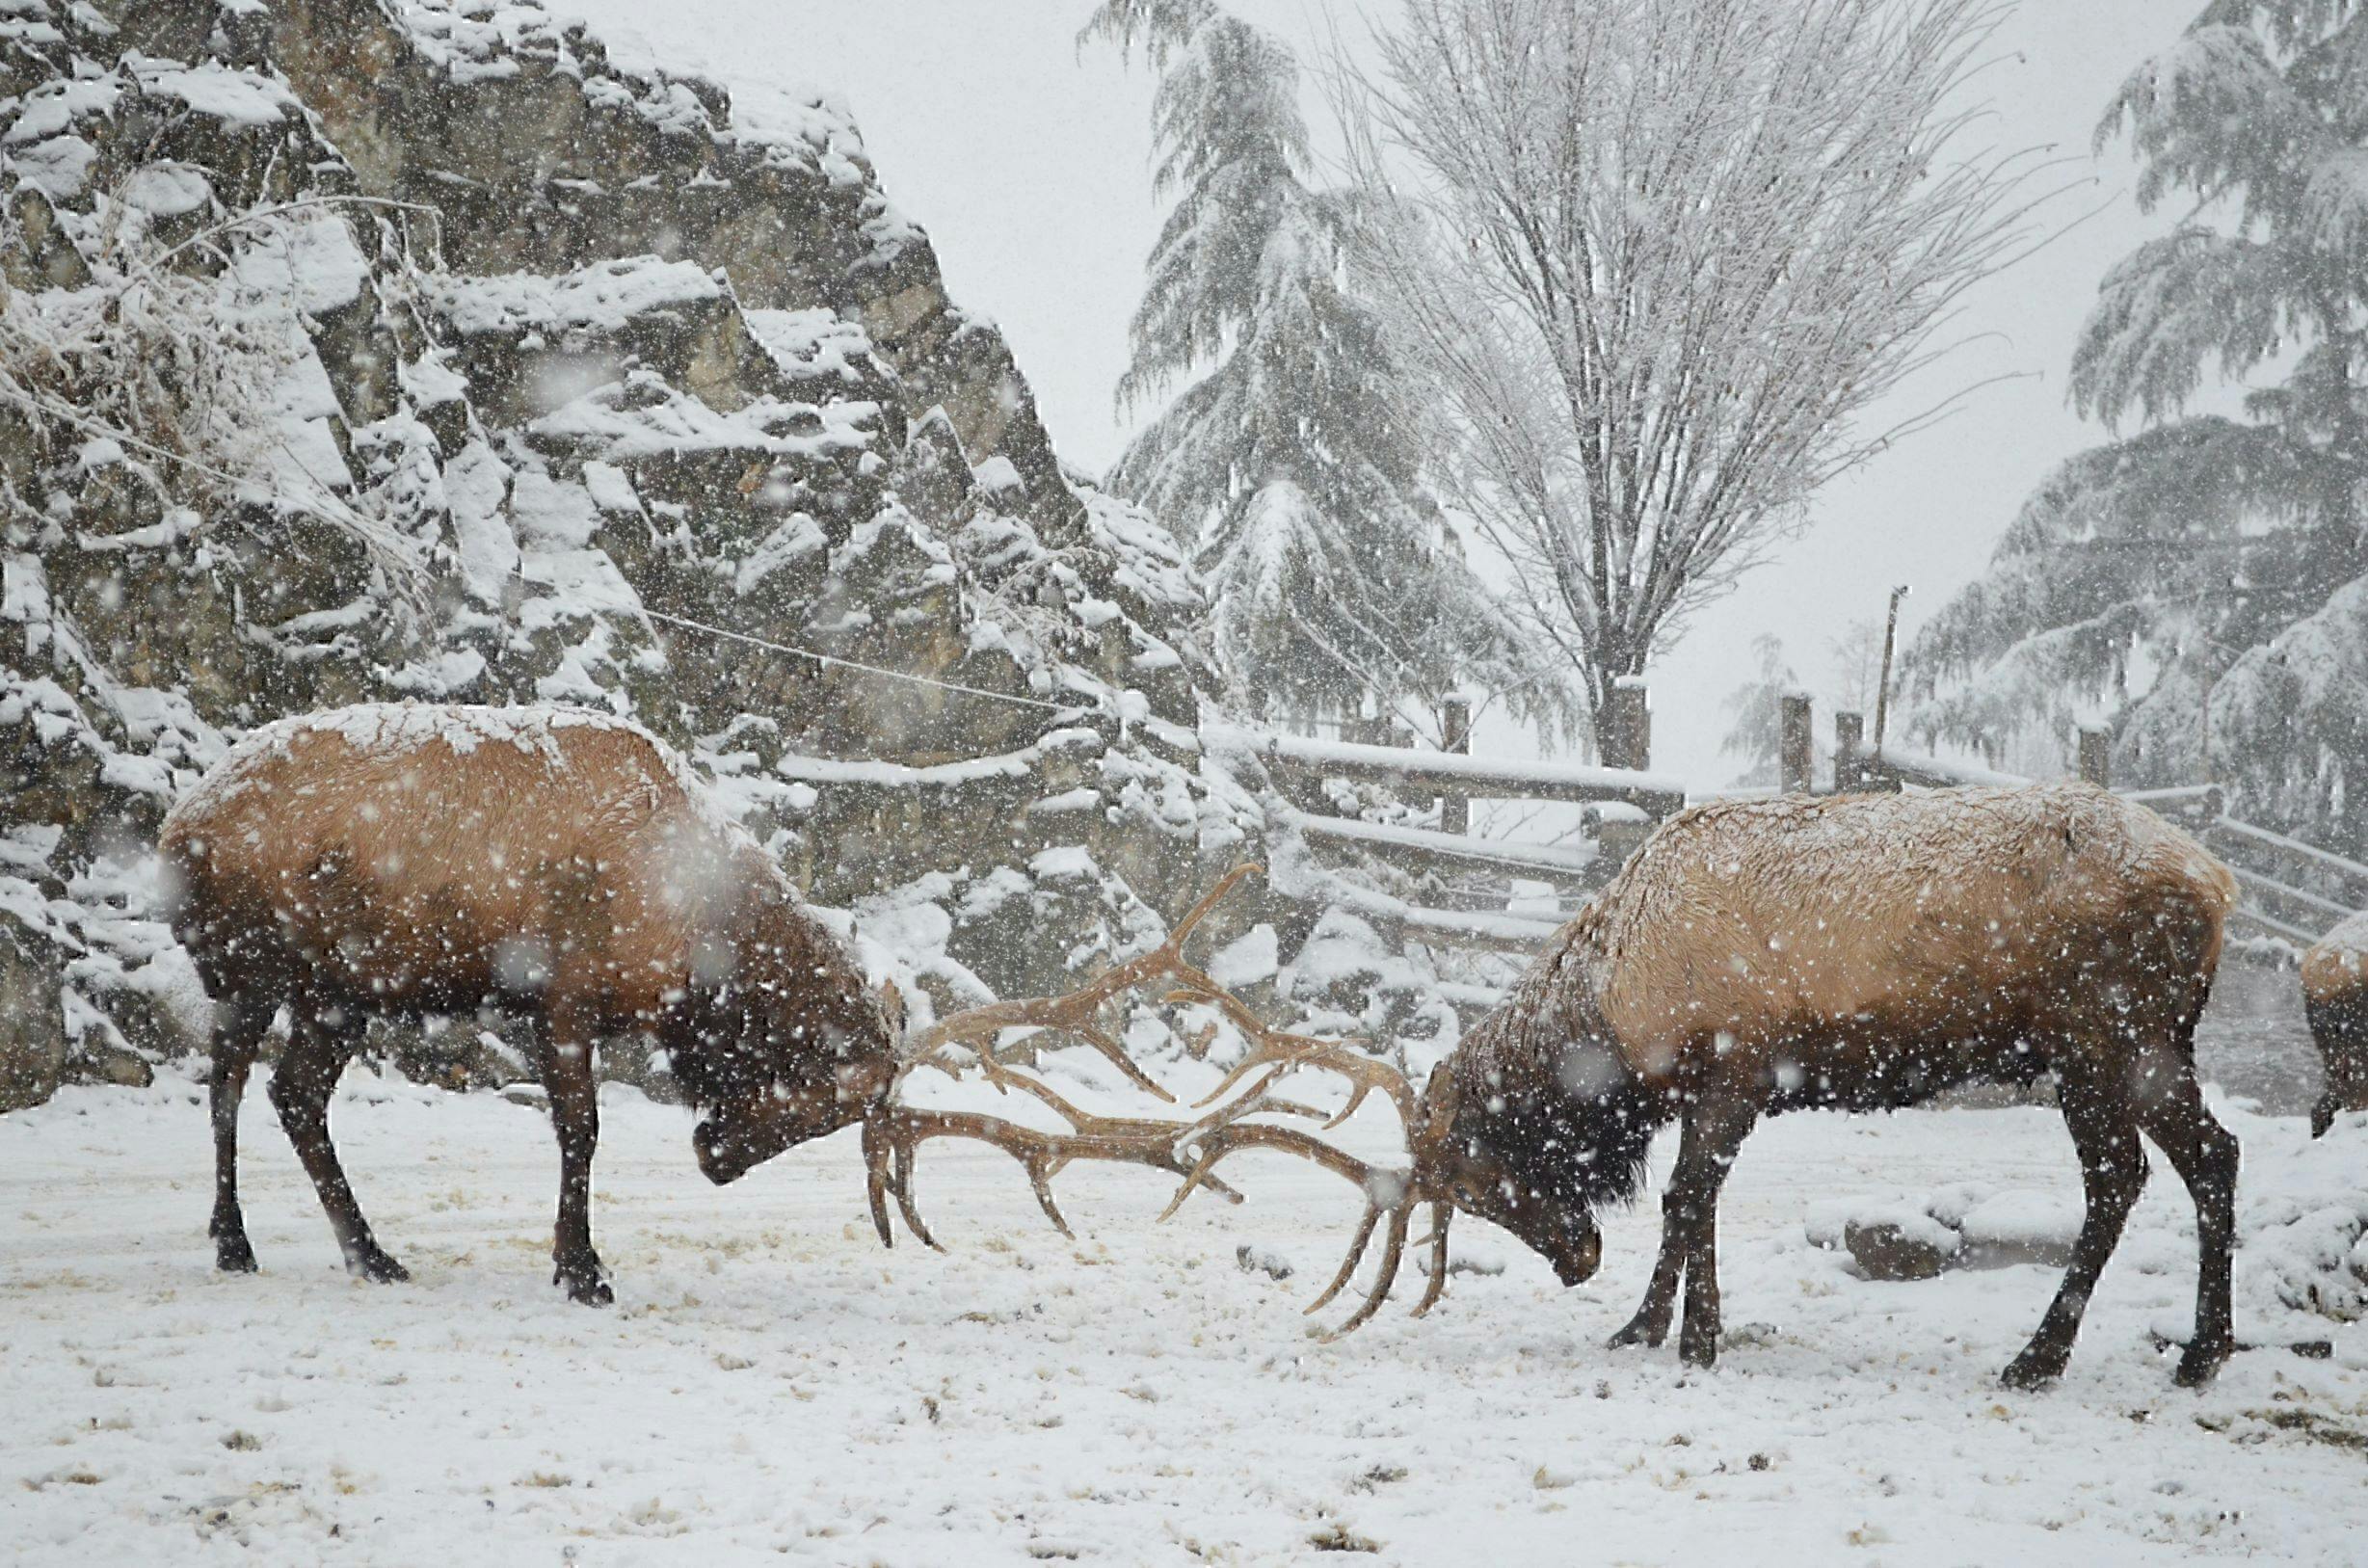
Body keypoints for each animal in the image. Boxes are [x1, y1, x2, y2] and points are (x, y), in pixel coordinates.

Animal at [162, 705, 1278, 1307]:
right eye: (818, 1092)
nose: (714, 1157)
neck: (694, 932)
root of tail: (176, 829)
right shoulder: (563, 994)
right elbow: (582, 1133)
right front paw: (582, 1268)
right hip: (258, 968)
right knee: (233, 1087)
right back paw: (242, 1241)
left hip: (340, 989)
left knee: (287, 1094)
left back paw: (360, 1251)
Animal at [1174, 782, 2245, 1393]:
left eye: (1479, 1178)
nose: (1576, 1260)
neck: (1618, 1014)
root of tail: (2219, 882)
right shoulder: (1702, 1088)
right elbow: (1681, 1206)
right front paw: (1646, 1323)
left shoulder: (1737, 1069)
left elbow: (1690, 1197)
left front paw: (1694, 1338)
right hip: (2137, 1046)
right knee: (2205, 1157)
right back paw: (2198, 1351)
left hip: (2106, 1040)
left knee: (2128, 1177)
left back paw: (2046, 1357)